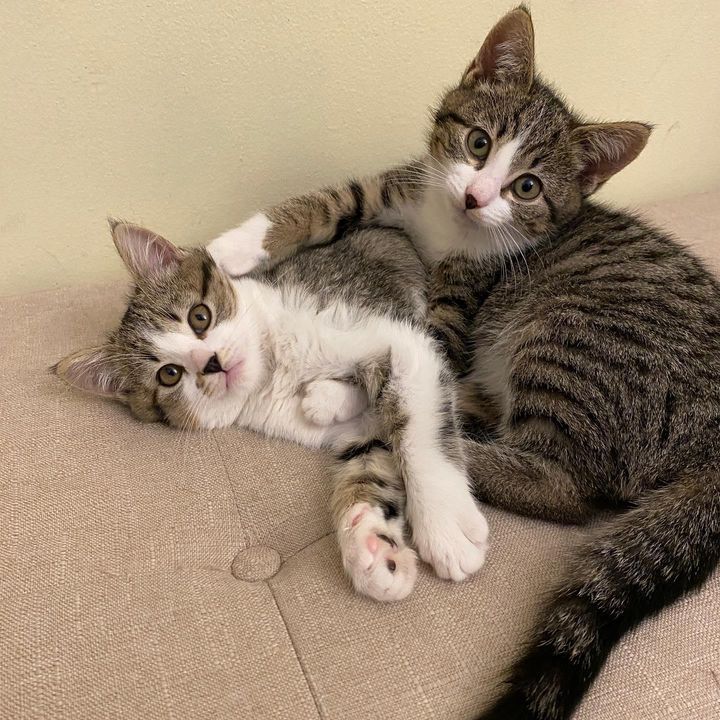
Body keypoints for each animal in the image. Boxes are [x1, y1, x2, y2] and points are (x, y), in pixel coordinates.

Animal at [53, 221, 486, 600]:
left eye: (199, 316)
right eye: (169, 374)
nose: (211, 362)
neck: (274, 368)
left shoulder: (400, 340)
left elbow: (418, 429)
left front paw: (446, 530)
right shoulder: (355, 426)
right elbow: (367, 459)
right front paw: (372, 549)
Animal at [205, 7, 720, 720]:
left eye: (526, 187)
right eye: (477, 143)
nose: (476, 196)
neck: (450, 228)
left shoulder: (463, 302)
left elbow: (421, 351)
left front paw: (342, 399)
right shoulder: (405, 186)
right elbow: (338, 198)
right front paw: (238, 244)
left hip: (573, 333)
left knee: (569, 488)